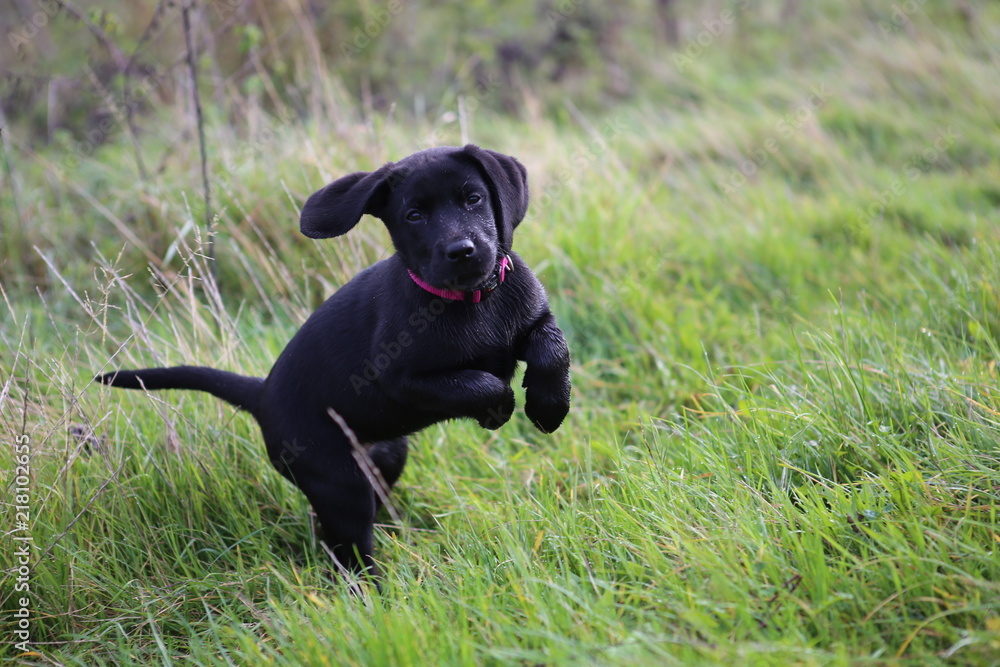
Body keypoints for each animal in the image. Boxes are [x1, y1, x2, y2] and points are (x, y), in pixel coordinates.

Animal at [102, 144, 576, 580]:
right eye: (414, 216)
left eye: (473, 198)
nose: (462, 250)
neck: (471, 300)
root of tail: (262, 394)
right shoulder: (400, 379)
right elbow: (481, 382)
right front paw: (498, 409)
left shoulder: (534, 318)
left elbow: (553, 349)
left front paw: (549, 405)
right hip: (340, 482)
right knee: (350, 550)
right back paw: (376, 593)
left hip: (385, 457)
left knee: (336, 528)